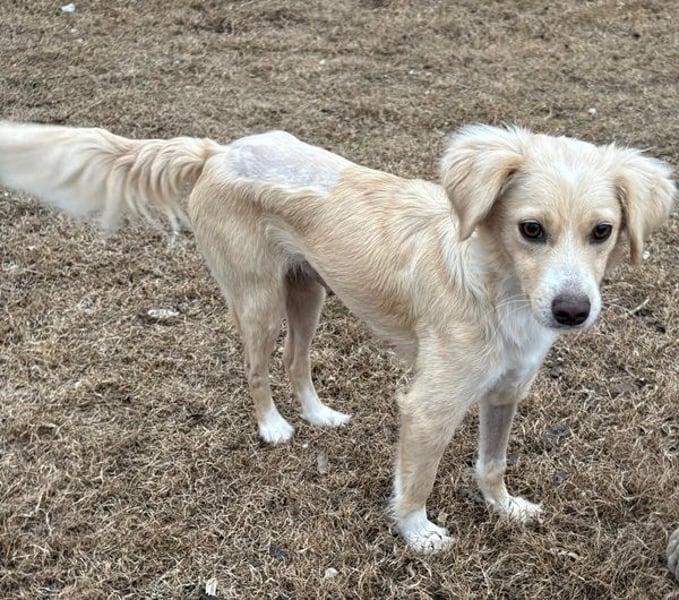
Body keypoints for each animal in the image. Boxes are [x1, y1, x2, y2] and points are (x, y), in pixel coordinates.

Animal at [0, 121, 674, 551]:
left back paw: (318, 414)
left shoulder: (506, 391)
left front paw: (503, 506)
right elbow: (417, 478)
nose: (571, 311)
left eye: (603, 231)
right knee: (257, 368)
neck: (496, 283)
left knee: (296, 361)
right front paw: (417, 533)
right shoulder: (429, 405)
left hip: (309, 292)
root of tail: (219, 152)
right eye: (530, 229)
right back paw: (274, 427)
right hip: (258, 298)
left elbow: (492, 462)